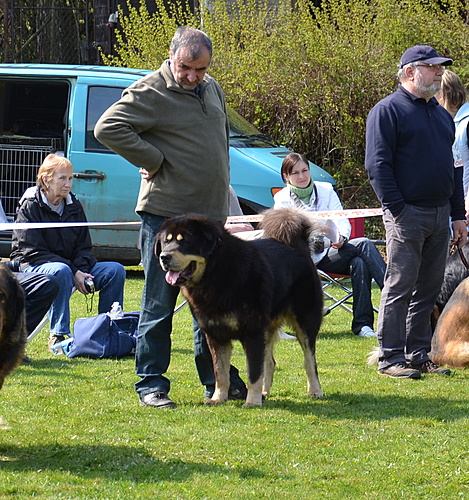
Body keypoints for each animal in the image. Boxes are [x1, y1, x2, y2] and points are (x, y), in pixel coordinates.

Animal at [155, 207, 324, 406]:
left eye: (185, 241)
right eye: (166, 242)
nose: (164, 257)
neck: (216, 274)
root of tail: (297, 245)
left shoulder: (252, 333)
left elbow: (253, 373)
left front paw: (252, 402)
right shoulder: (216, 335)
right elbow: (221, 372)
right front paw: (218, 398)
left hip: (304, 321)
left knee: (309, 361)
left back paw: (315, 391)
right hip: (268, 328)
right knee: (270, 362)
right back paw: (265, 393)